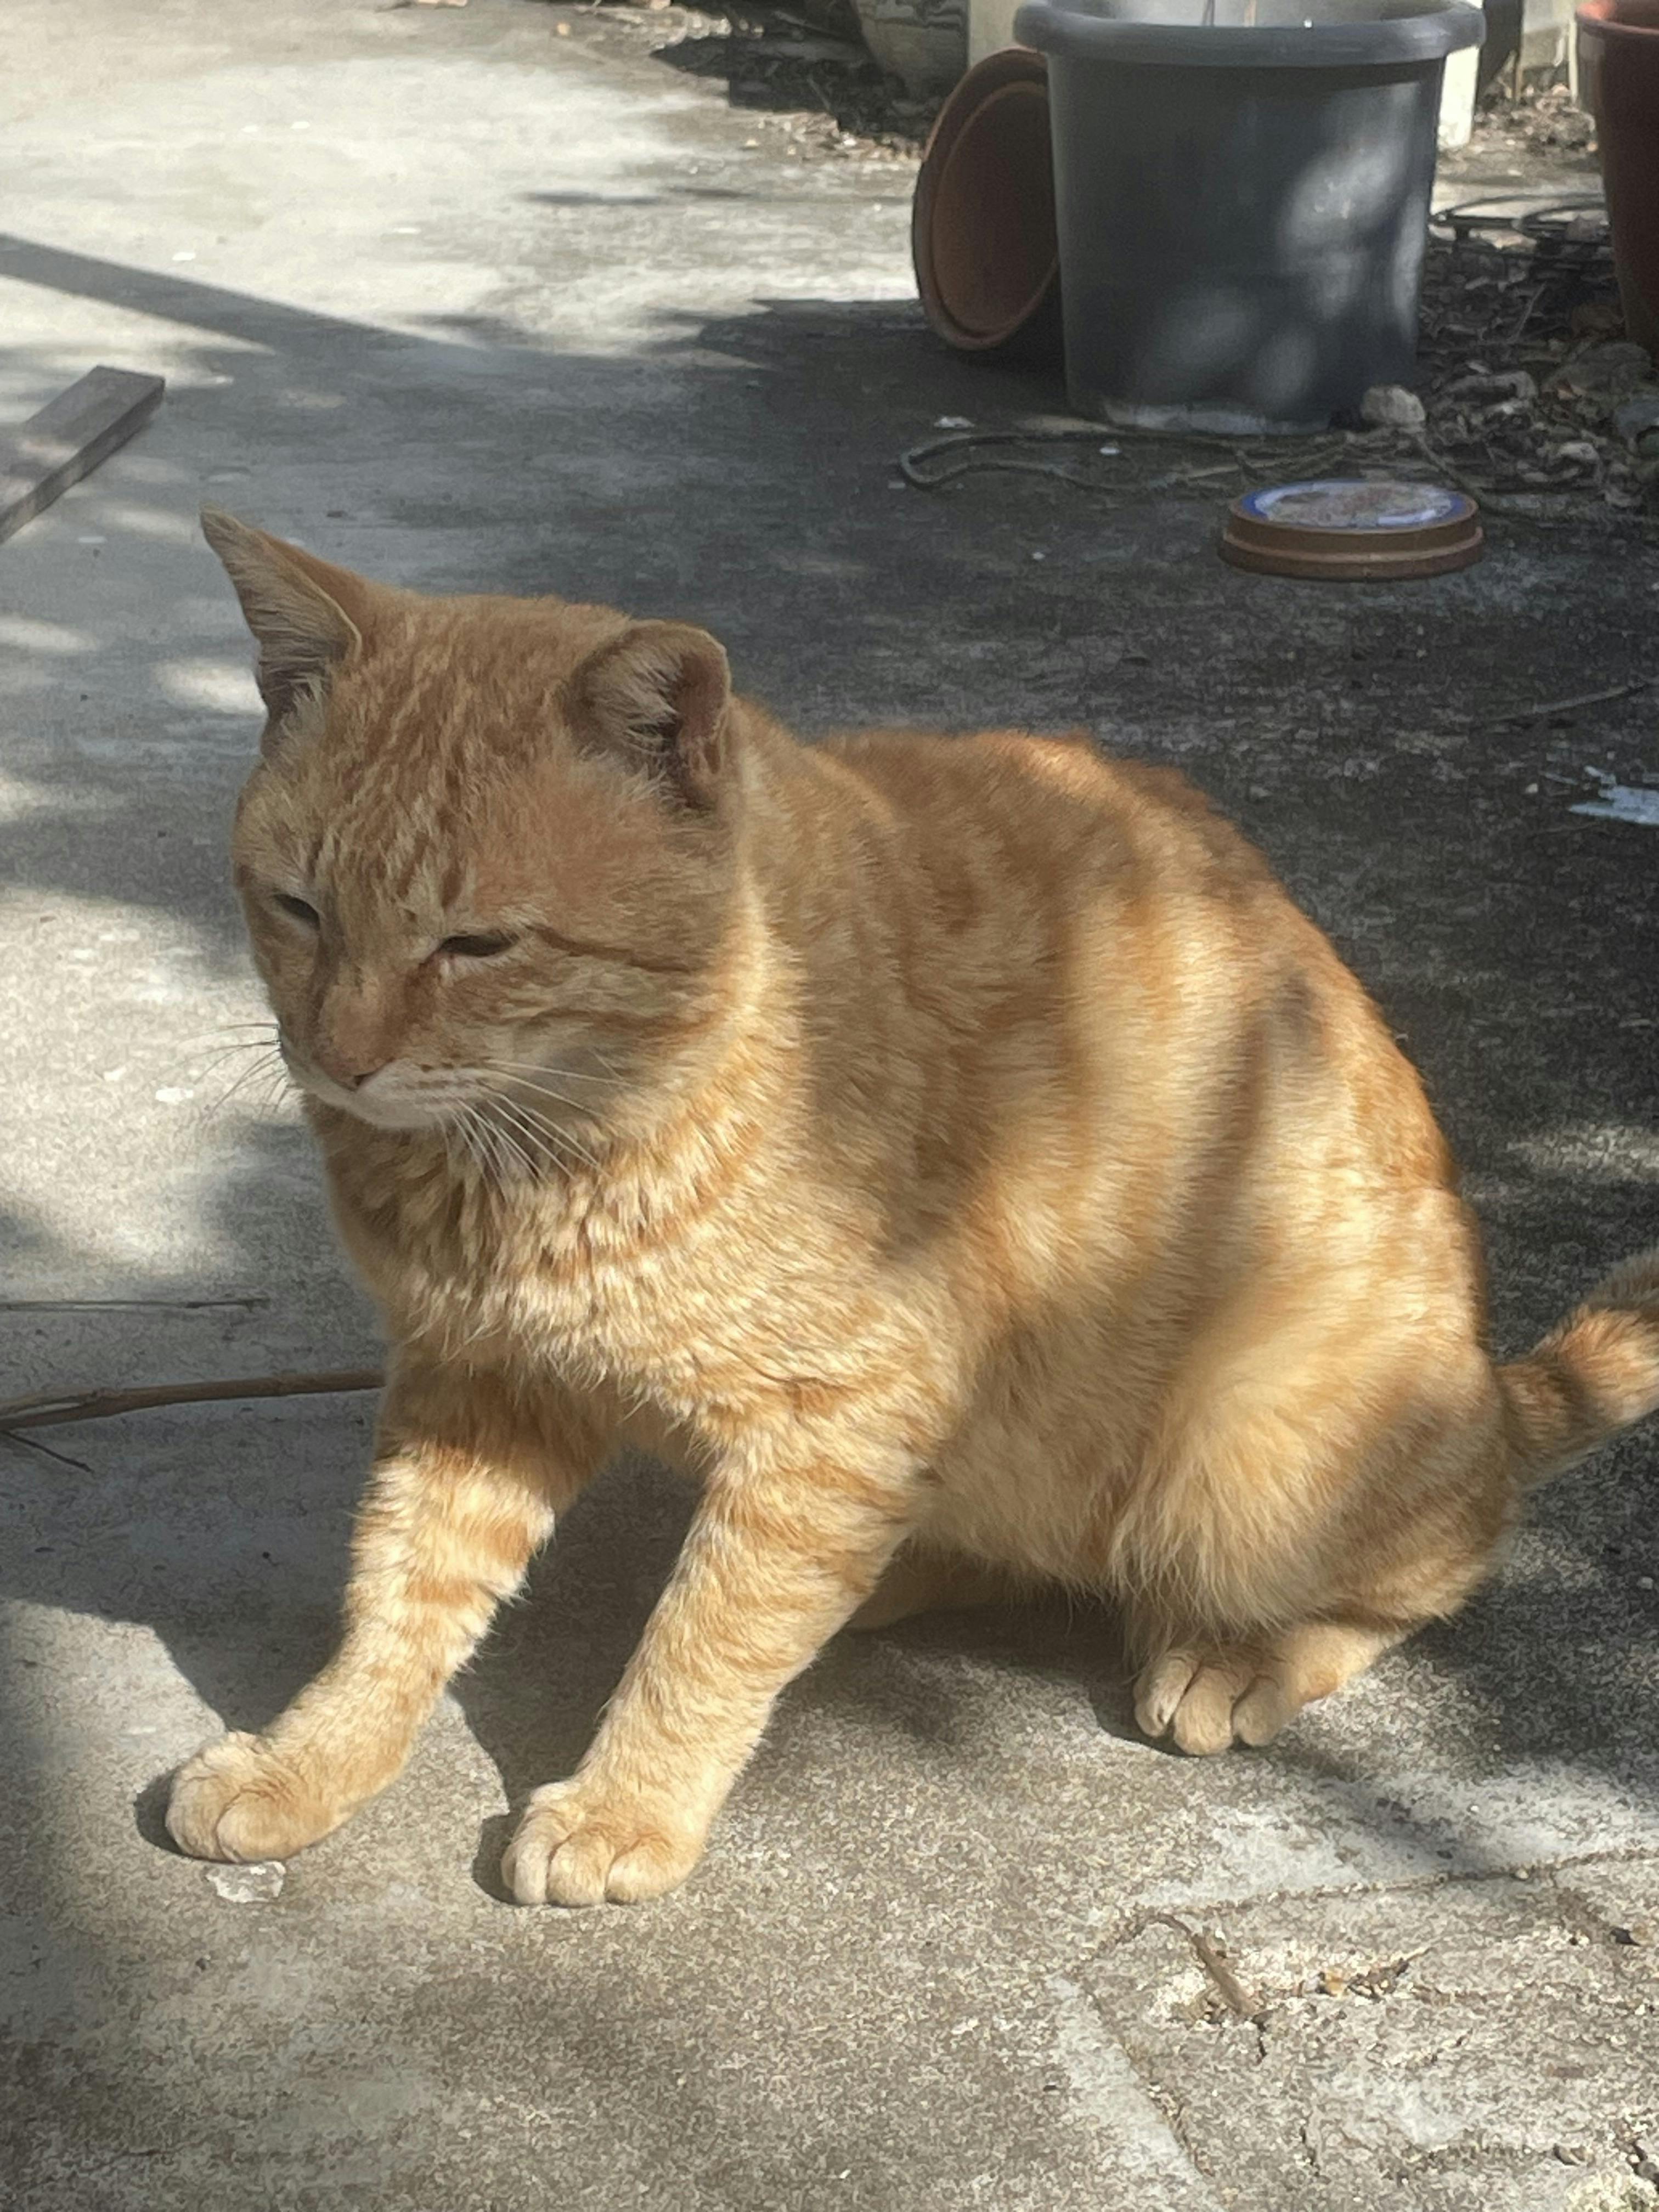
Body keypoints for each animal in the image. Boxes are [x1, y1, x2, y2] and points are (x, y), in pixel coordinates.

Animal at [166, 509, 1659, 1906]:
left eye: (478, 945)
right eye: (298, 908)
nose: (339, 1056)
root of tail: (1489, 1386)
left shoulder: (840, 1411)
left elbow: (701, 1641)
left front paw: (626, 1803)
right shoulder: (477, 1379)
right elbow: (401, 1590)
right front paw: (314, 1757)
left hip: (1243, 1458)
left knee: (1429, 1569)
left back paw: (1237, 1653)